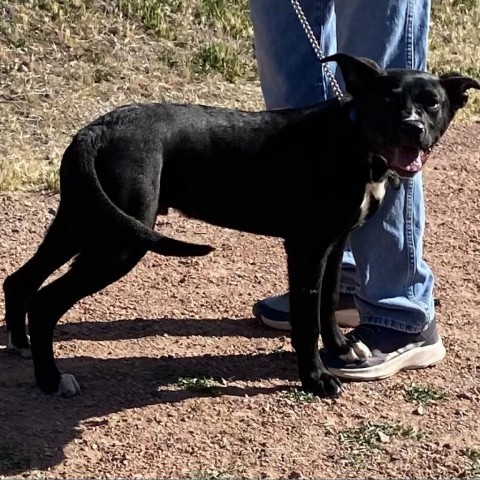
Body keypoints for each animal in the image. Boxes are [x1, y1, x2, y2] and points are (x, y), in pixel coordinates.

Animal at [4, 53, 480, 398]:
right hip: (118, 242)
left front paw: (341, 349)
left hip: (83, 223)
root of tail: (95, 131)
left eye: (432, 103)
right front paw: (316, 379)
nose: (413, 128)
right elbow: (306, 321)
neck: (354, 141)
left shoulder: (335, 242)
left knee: (19, 280)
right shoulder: (307, 248)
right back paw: (50, 381)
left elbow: (327, 305)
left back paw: (20, 344)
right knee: (44, 302)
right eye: (387, 101)